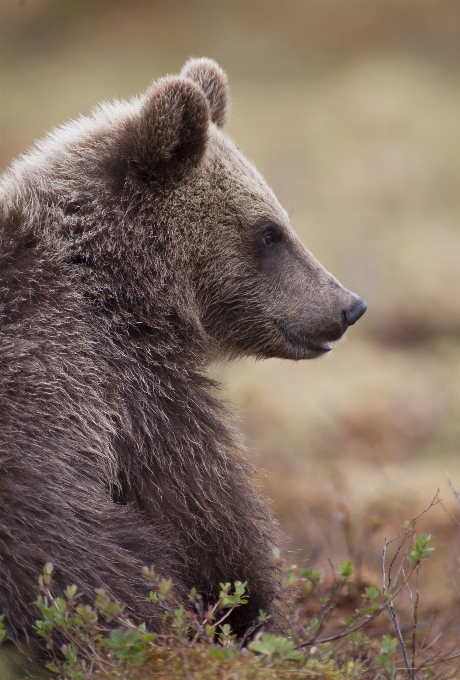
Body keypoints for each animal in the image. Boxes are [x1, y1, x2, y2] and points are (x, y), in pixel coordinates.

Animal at [0, 55, 366, 640]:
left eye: (281, 223)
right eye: (269, 232)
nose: (349, 306)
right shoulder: (121, 382)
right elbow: (206, 512)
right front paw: (247, 607)